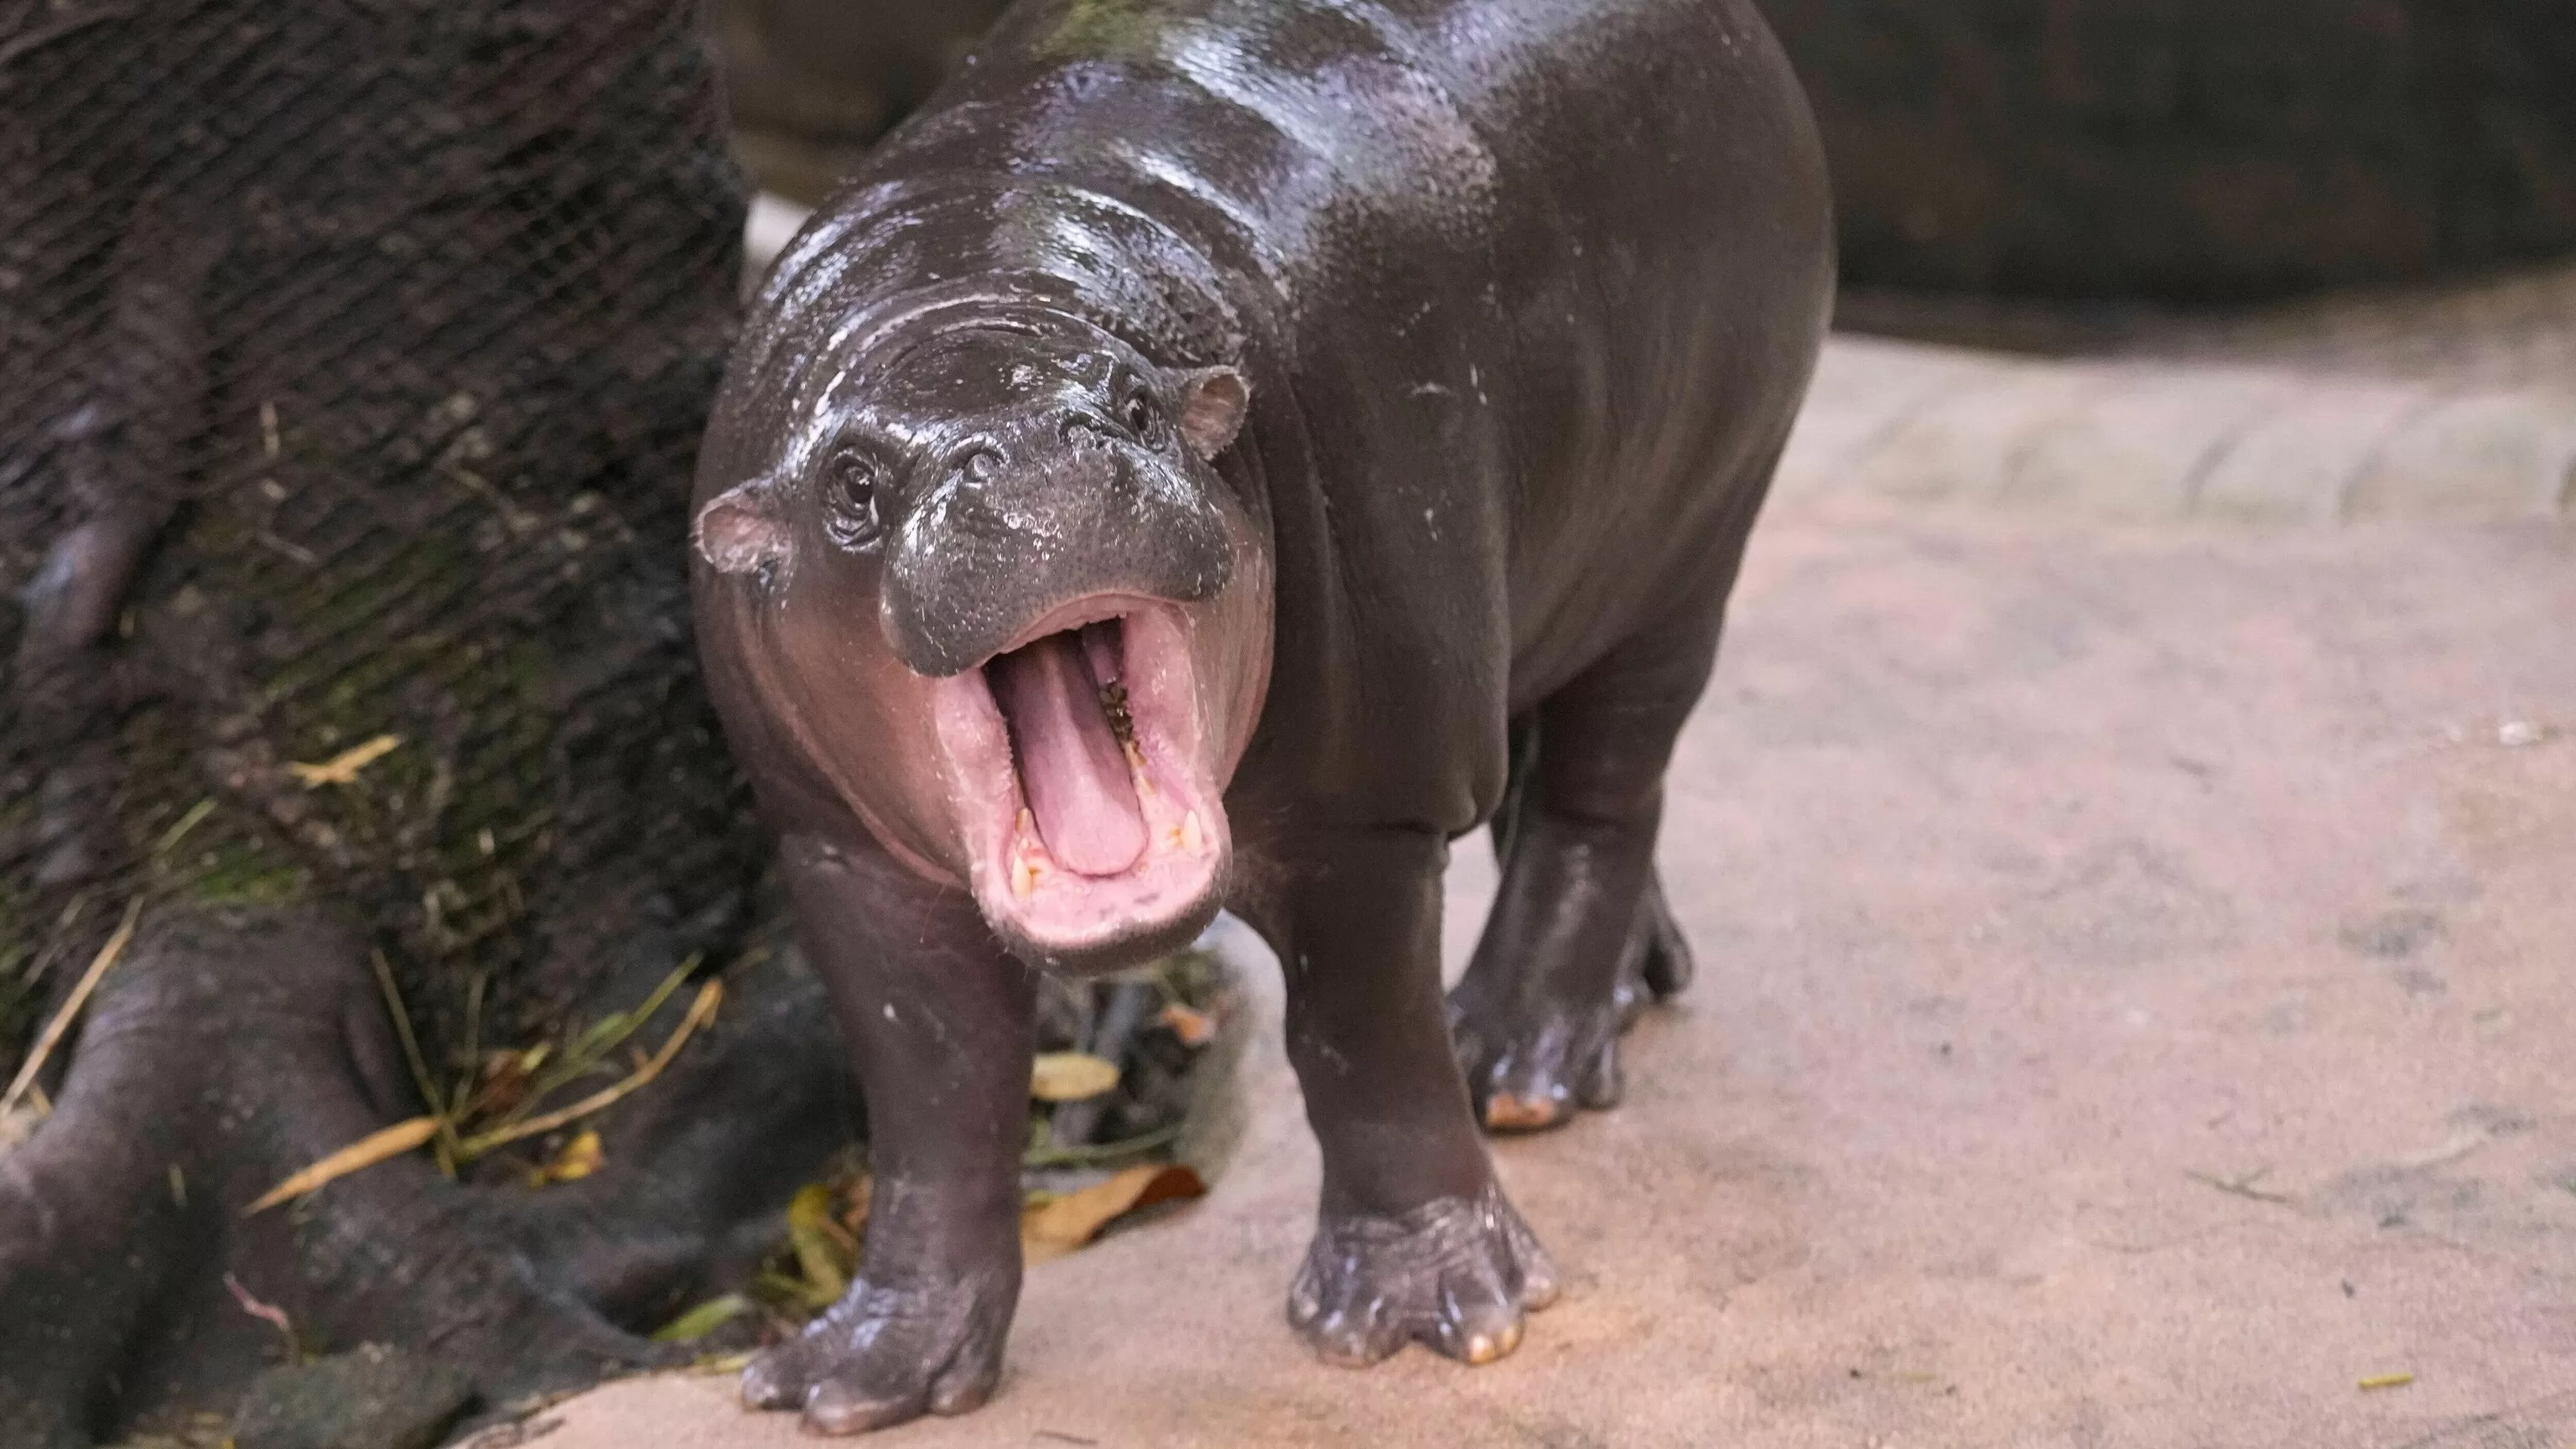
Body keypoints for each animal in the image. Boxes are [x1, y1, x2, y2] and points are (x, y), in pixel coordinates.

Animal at [691, 0, 1833, 1432]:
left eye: (1133, 405)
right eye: (850, 485)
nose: (1037, 456)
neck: (974, 289)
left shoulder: (1368, 811)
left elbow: (1359, 1042)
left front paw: (1432, 1314)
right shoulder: (837, 856)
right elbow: (934, 1095)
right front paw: (855, 1376)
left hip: (1694, 534)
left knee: (1604, 787)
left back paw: (1517, 1062)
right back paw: (1622, 991)